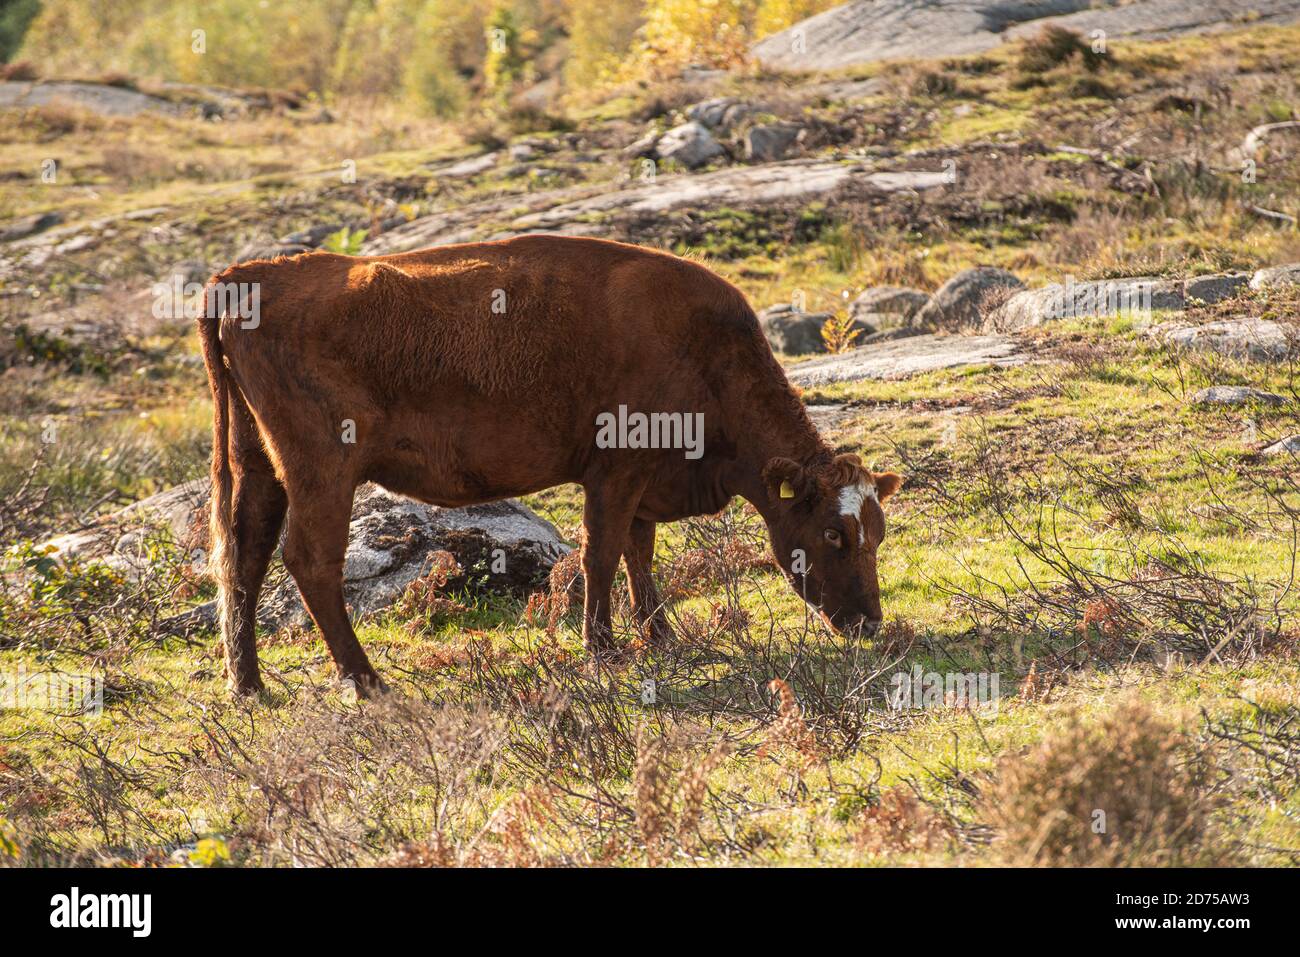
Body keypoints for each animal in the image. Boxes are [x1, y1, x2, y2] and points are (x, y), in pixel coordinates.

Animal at [197, 235, 902, 697]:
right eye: (833, 533)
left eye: (878, 534)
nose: (870, 622)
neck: (706, 352)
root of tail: (244, 275)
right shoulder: (615, 471)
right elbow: (602, 553)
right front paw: (604, 648)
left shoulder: (642, 480)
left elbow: (639, 553)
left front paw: (659, 636)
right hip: (323, 470)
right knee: (309, 561)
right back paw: (367, 682)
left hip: (258, 467)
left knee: (243, 558)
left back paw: (248, 685)